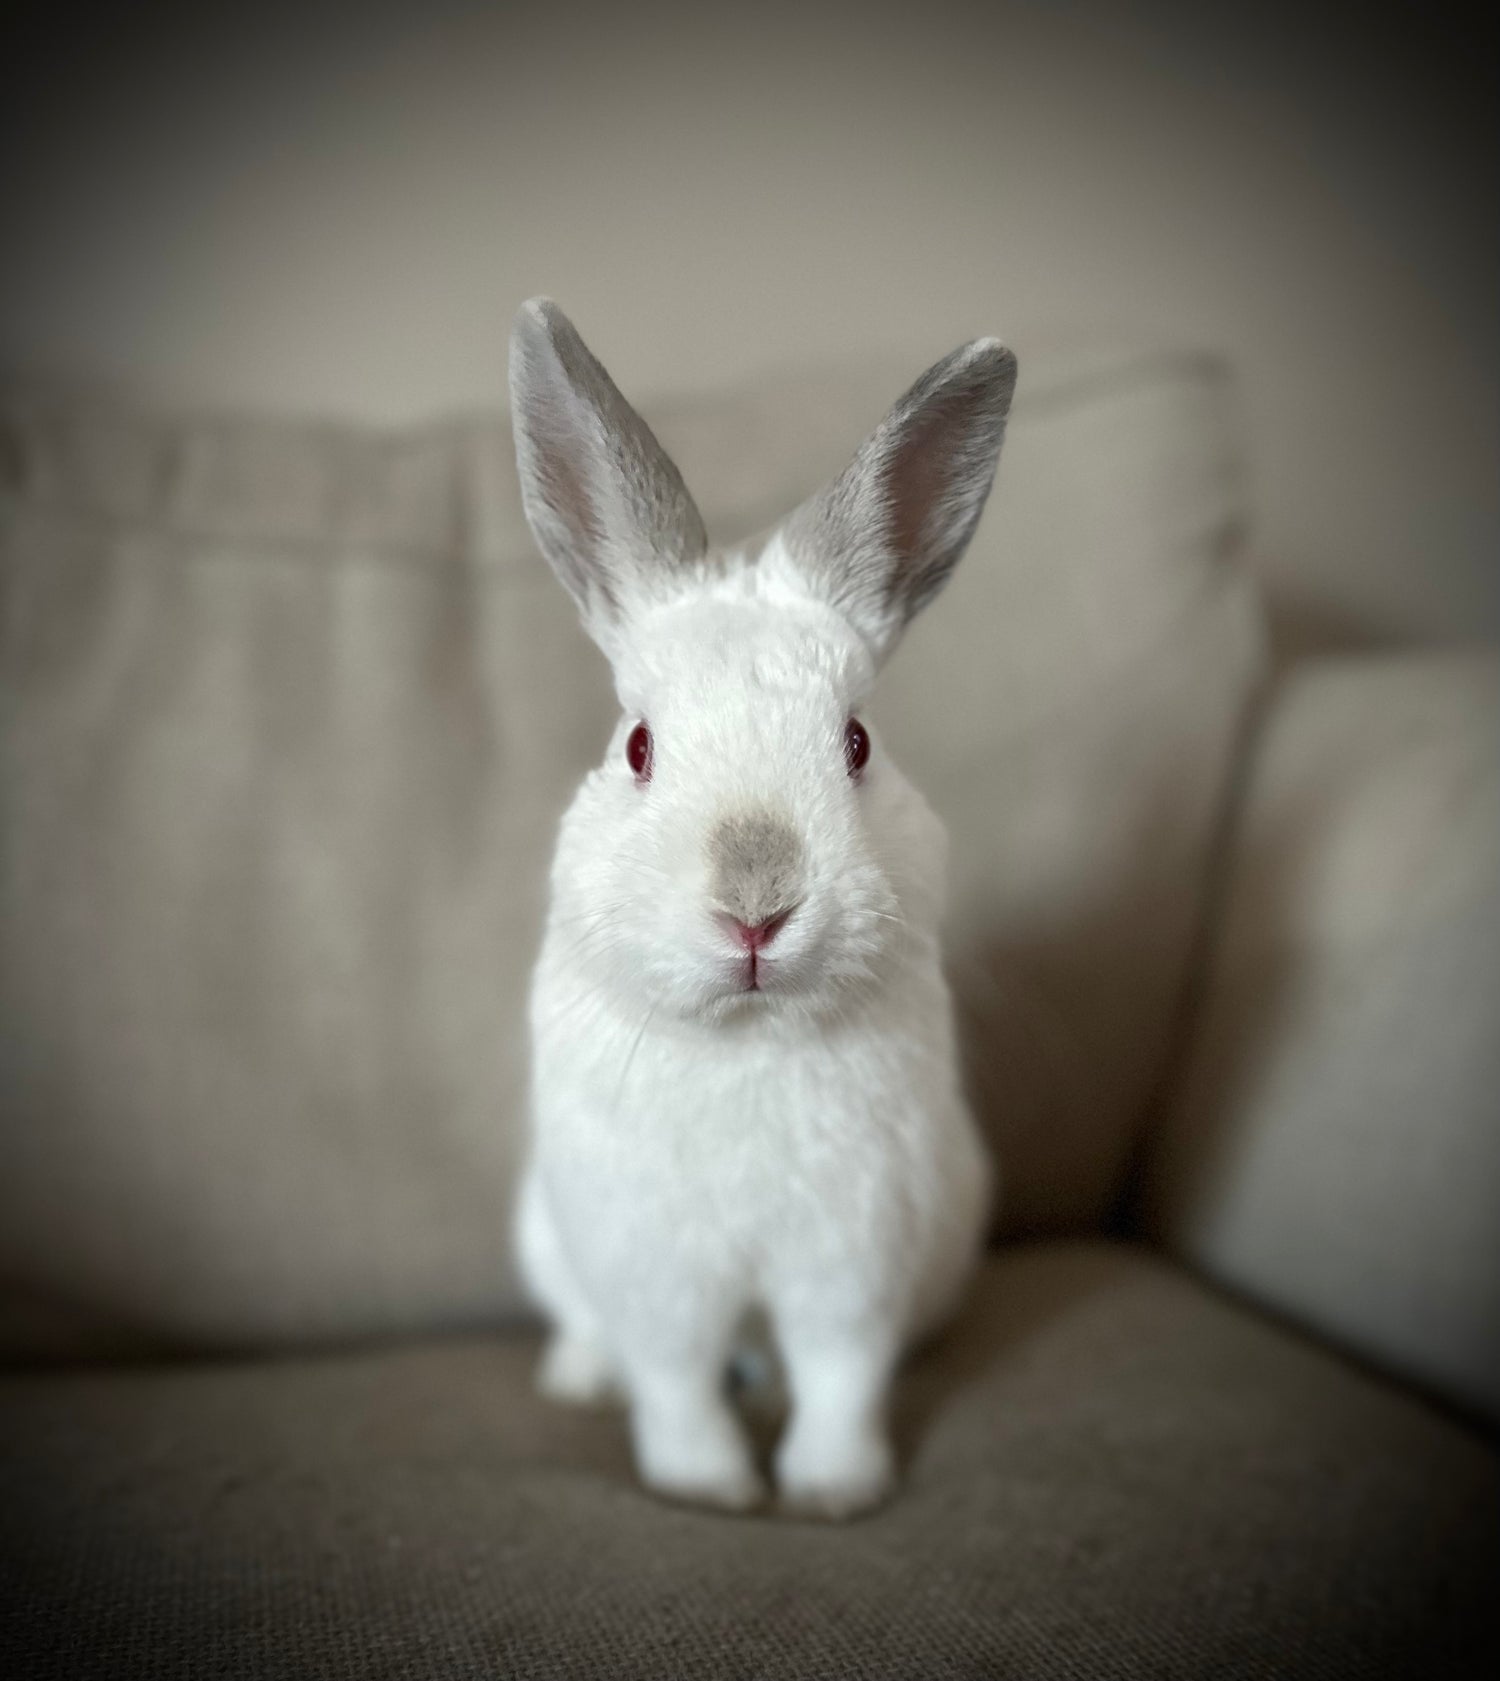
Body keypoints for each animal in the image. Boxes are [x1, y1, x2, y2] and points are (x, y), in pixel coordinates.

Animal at [511, 302, 1015, 1526]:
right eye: (639, 747)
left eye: (857, 742)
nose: (756, 904)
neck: (747, 1039)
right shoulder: (657, 1271)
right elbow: (675, 1378)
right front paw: (707, 1488)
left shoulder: (854, 1259)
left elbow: (841, 1373)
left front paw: (834, 1490)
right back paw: (579, 1379)